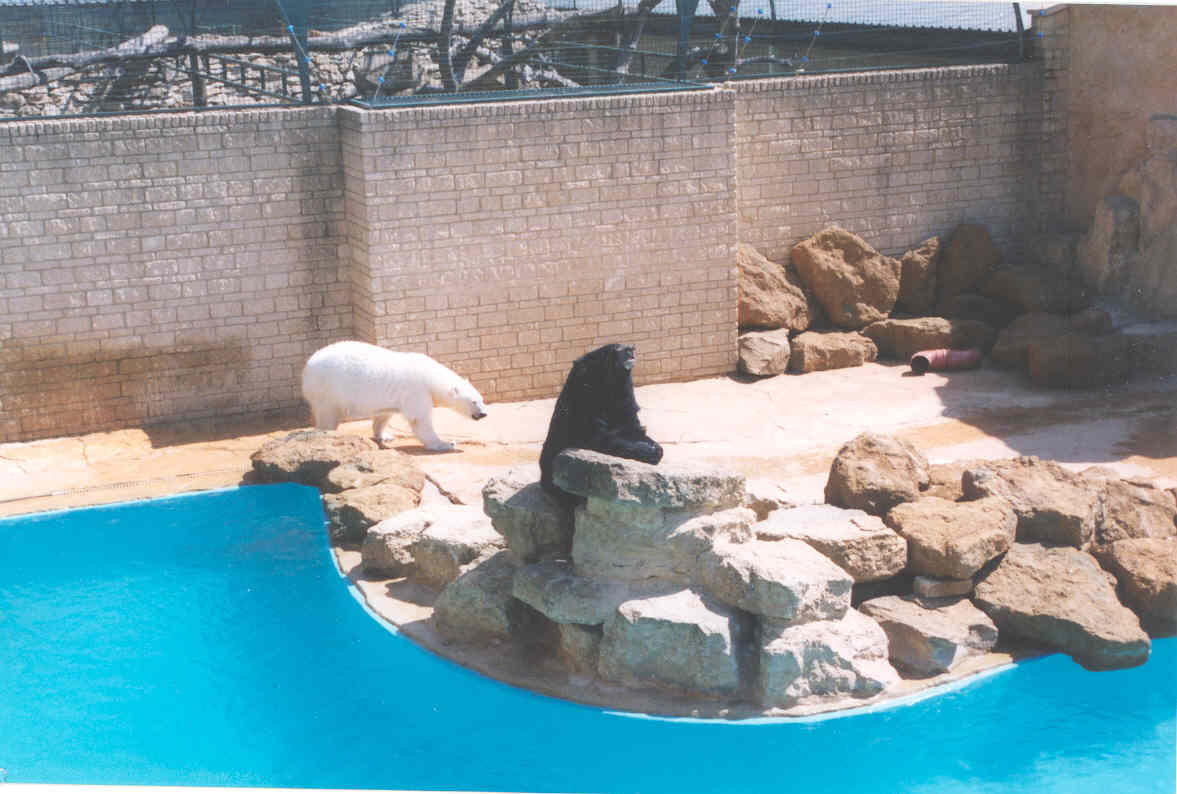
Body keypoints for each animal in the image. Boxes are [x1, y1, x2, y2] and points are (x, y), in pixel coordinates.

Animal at [301, 340, 487, 452]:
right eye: (473, 401)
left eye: (482, 399)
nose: (483, 414)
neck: (431, 377)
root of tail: (308, 365)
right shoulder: (416, 391)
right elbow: (420, 420)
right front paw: (446, 444)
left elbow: (384, 415)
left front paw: (385, 435)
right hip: (328, 389)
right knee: (328, 415)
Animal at [539, 342, 663, 495]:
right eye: (619, 349)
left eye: (626, 348)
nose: (631, 349)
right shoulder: (583, 385)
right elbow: (597, 436)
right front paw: (647, 450)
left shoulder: (624, 386)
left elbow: (631, 426)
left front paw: (653, 446)